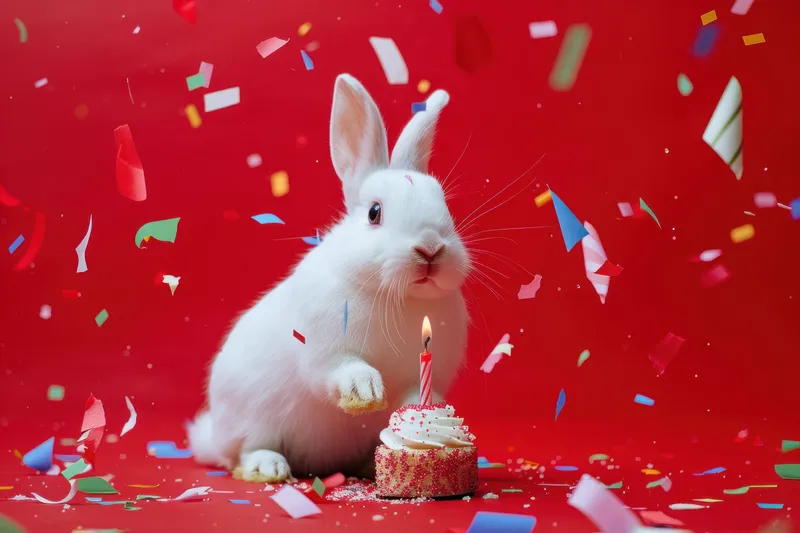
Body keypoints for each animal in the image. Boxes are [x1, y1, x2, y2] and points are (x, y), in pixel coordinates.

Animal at [187, 73, 470, 482]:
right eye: (374, 213)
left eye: (445, 208)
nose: (431, 248)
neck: (397, 296)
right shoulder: (325, 355)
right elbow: (341, 370)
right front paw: (365, 391)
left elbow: (414, 396)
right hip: (249, 418)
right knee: (244, 451)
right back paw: (270, 467)